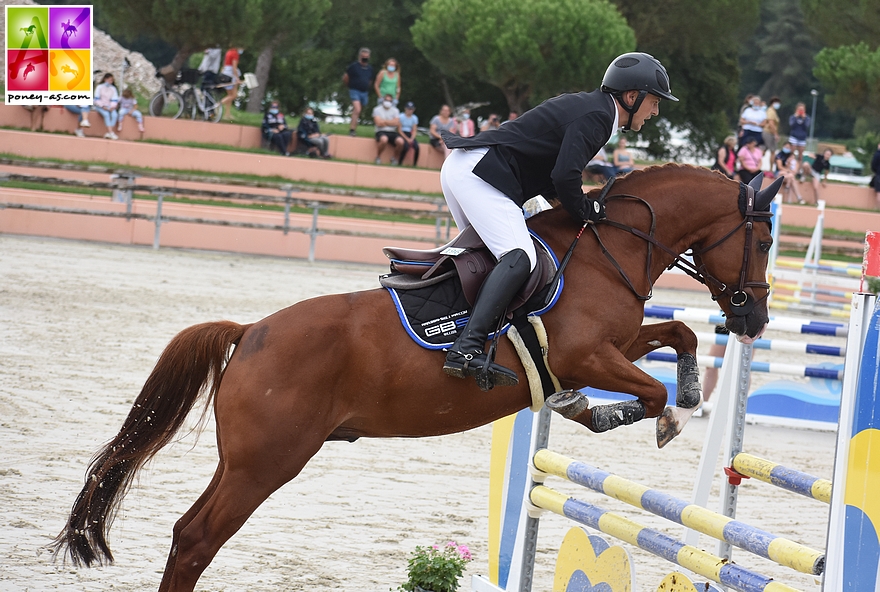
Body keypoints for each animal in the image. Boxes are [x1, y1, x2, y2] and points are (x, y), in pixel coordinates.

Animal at [49, 164, 776, 588]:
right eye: (765, 240)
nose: (756, 316)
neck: (610, 248)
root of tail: (250, 332)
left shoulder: (621, 342)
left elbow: (678, 335)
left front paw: (683, 390)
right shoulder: (589, 354)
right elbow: (645, 392)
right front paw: (613, 413)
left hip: (244, 462)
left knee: (187, 533)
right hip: (268, 464)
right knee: (199, 539)